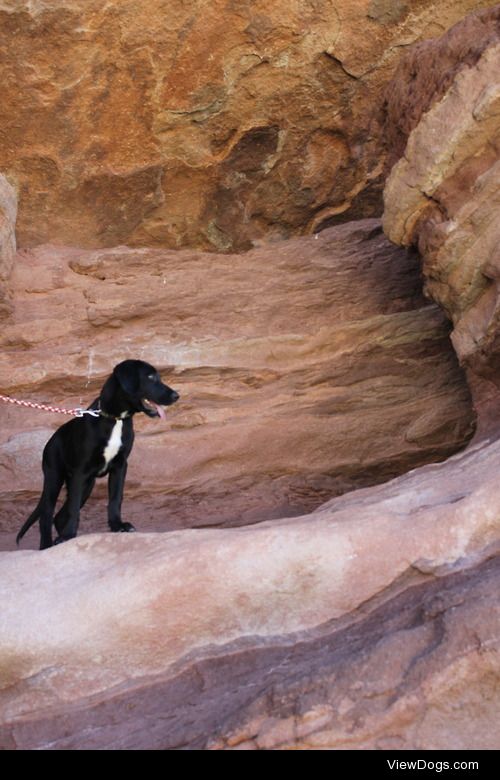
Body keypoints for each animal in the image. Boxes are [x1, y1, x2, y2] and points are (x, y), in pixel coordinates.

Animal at [16, 362, 180, 552]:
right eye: (150, 377)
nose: (176, 396)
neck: (115, 419)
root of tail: (52, 438)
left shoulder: (120, 466)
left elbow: (115, 499)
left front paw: (118, 526)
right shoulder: (80, 472)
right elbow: (74, 509)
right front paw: (68, 535)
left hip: (87, 484)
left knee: (59, 515)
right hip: (54, 478)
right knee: (47, 514)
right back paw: (47, 545)